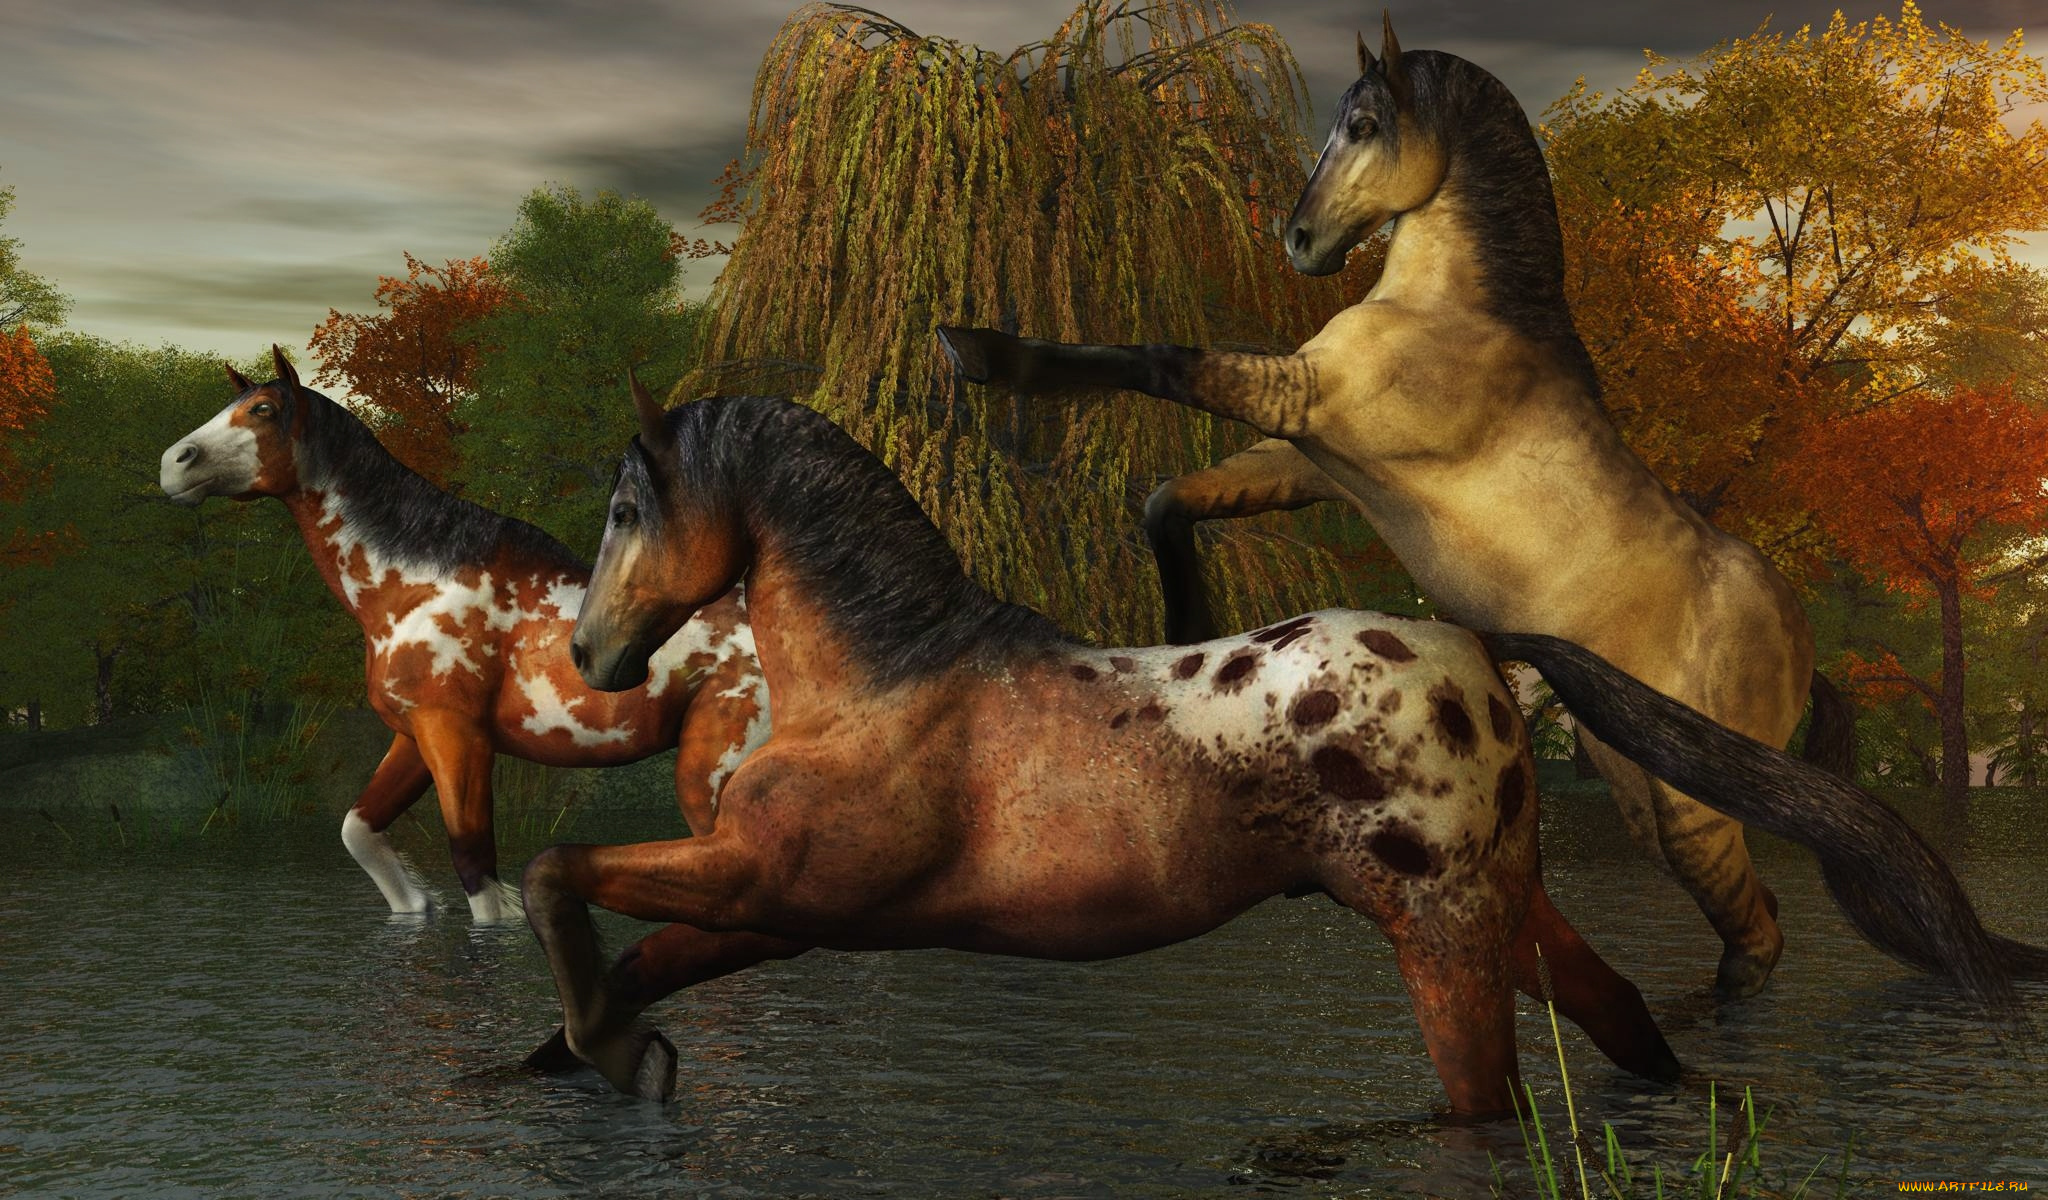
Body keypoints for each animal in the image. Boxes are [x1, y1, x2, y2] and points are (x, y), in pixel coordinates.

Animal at [157, 347, 770, 923]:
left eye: (263, 409)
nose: (172, 464)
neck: (419, 587)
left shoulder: (455, 737)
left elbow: (475, 869)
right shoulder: (412, 735)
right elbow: (359, 832)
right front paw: (418, 905)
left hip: (711, 777)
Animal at [524, 385, 1684, 1116]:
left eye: (625, 509)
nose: (591, 652)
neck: (877, 684)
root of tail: (1474, 651)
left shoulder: (759, 880)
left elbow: (553, 874)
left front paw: (625, 1059)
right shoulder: (782, 917)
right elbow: (630, 963)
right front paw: (593, 1057)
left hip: (1440, 935)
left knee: (1488, 1105)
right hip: (1508, 909)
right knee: (1624, 1017)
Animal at [934, 16, 1858, 999]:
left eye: (1365, 124)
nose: (1299, 240)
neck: (1452, 316)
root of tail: (1799, 641)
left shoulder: (1304, 405)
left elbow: (1158, 360)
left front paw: (979, 350)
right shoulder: (1319, 460)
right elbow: (1166, 498)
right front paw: (1185, 641)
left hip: (1692, 800)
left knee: (1754, 937)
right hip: (1636, 777)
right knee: (1746, 913)